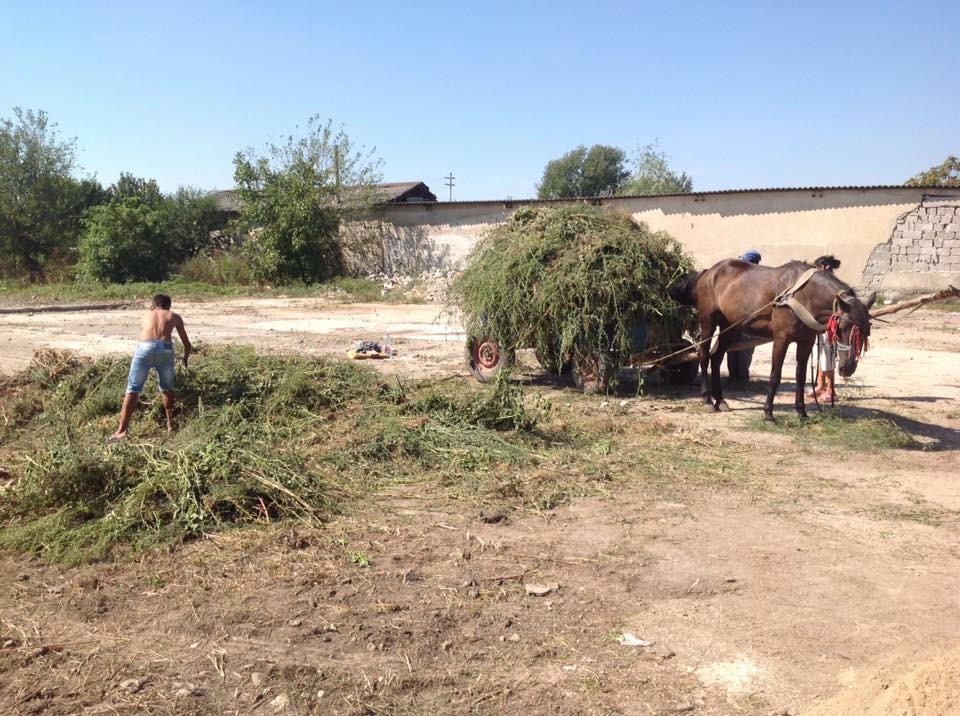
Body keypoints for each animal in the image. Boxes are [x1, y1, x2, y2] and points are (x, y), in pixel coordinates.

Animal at [672, 260, 872, 420]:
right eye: (842, 327)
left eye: (866, 331)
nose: (848, 367)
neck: (802, 295)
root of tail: (709, 271)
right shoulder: (781, 339)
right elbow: (775, 375)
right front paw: (768, 413)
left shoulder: (806, 342)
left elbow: (801, 377)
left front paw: (802, 413)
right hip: (708, 321)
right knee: (704, 356)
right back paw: (707, 399)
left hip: (730, 326)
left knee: (716, 358)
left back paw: (720, 400)